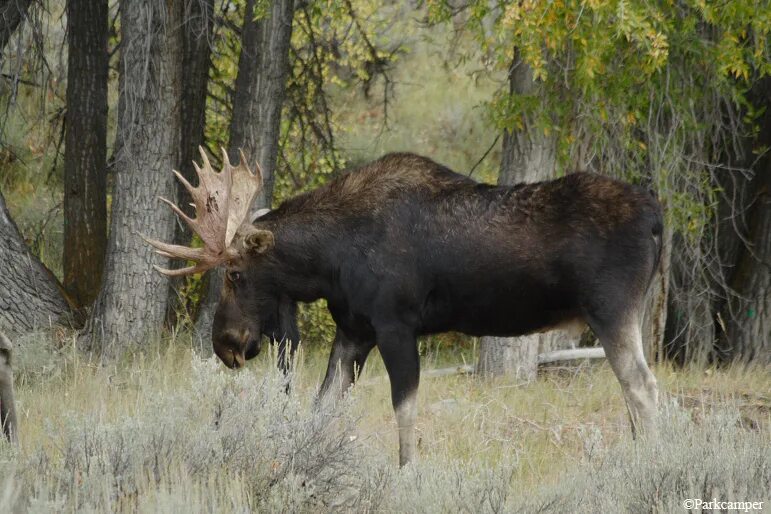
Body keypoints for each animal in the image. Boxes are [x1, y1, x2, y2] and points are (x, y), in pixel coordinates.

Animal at [145, 148, 664, 464]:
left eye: (235, 273)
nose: (225, 344)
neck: (328, 261)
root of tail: (658, 217)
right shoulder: (354, 331)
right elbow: (322, 407)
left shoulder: (395, 326)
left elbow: (404, 411)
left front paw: (406, 472)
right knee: (636, 393)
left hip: (612, 311)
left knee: (644, 388)